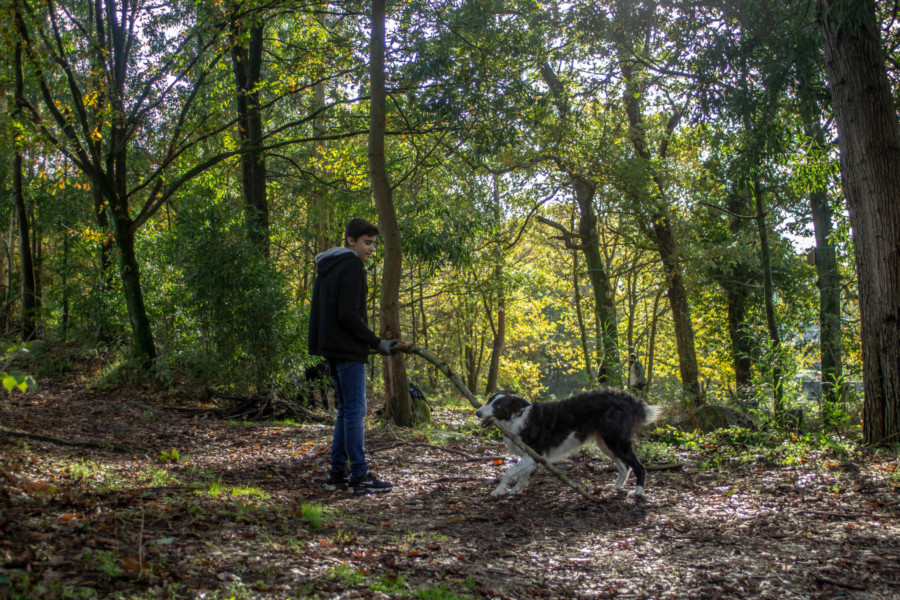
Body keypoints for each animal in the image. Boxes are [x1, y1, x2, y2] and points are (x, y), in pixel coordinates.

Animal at [478, 390, 660, 496]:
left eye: (497, 406)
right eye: (488, 400)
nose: (477, 412)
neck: (518, 417)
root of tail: (630, 399)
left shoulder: (533, 455)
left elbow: (509, 472)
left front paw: (498, 491)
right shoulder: (530, 457)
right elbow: (522, 476)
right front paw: (515, 490)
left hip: (615, 441)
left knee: (639, 467)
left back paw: (637, 492)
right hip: (606, 443)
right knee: (624, 466)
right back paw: (616, 487)